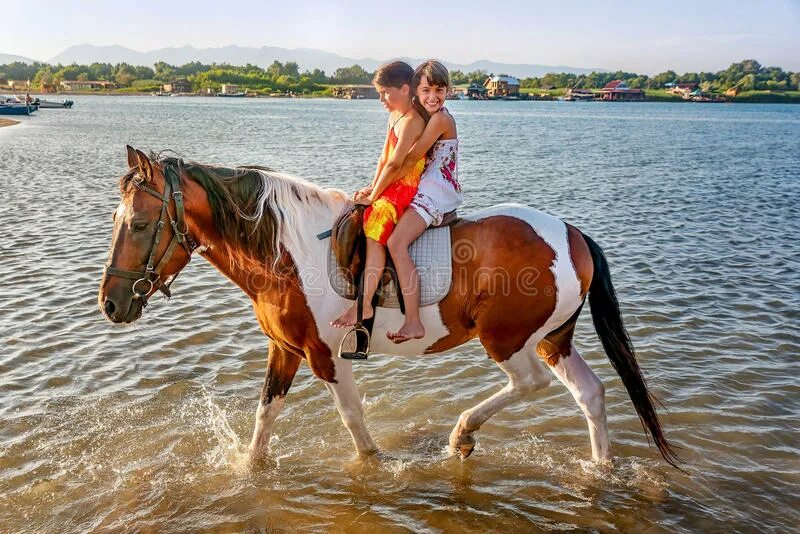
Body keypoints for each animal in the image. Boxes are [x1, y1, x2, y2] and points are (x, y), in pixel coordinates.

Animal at [97, 147, 680, 468]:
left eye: (141, 224)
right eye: (116, 220)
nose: (110, 303)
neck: (288, 249)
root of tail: (573, 233)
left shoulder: (323, 355)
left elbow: (354, 420)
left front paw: (375, 463)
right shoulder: (284, 349)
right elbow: (265, 415)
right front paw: (248, 469)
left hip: (508, 339)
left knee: (528, 383)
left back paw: (462, 434)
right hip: (552, 339)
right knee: (591, 394)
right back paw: (599, 470)